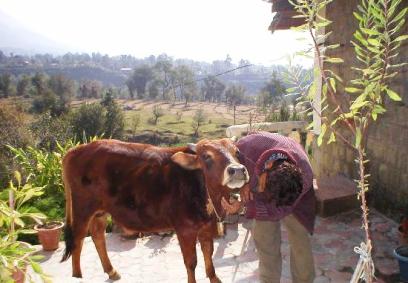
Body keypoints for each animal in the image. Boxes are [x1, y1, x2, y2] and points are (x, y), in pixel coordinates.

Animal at [59, 139, 247, 282]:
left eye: (236, 152)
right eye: (207, 156)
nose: (237, 170)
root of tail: (76, 150)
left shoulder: (206, 225)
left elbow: (208, 253)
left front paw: (215, 278)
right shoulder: (185, 229)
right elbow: (191, 262)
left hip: (99, 211)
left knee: (98, 235)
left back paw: (112, 272)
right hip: (82, 208)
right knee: (78, 239)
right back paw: (77, 276)